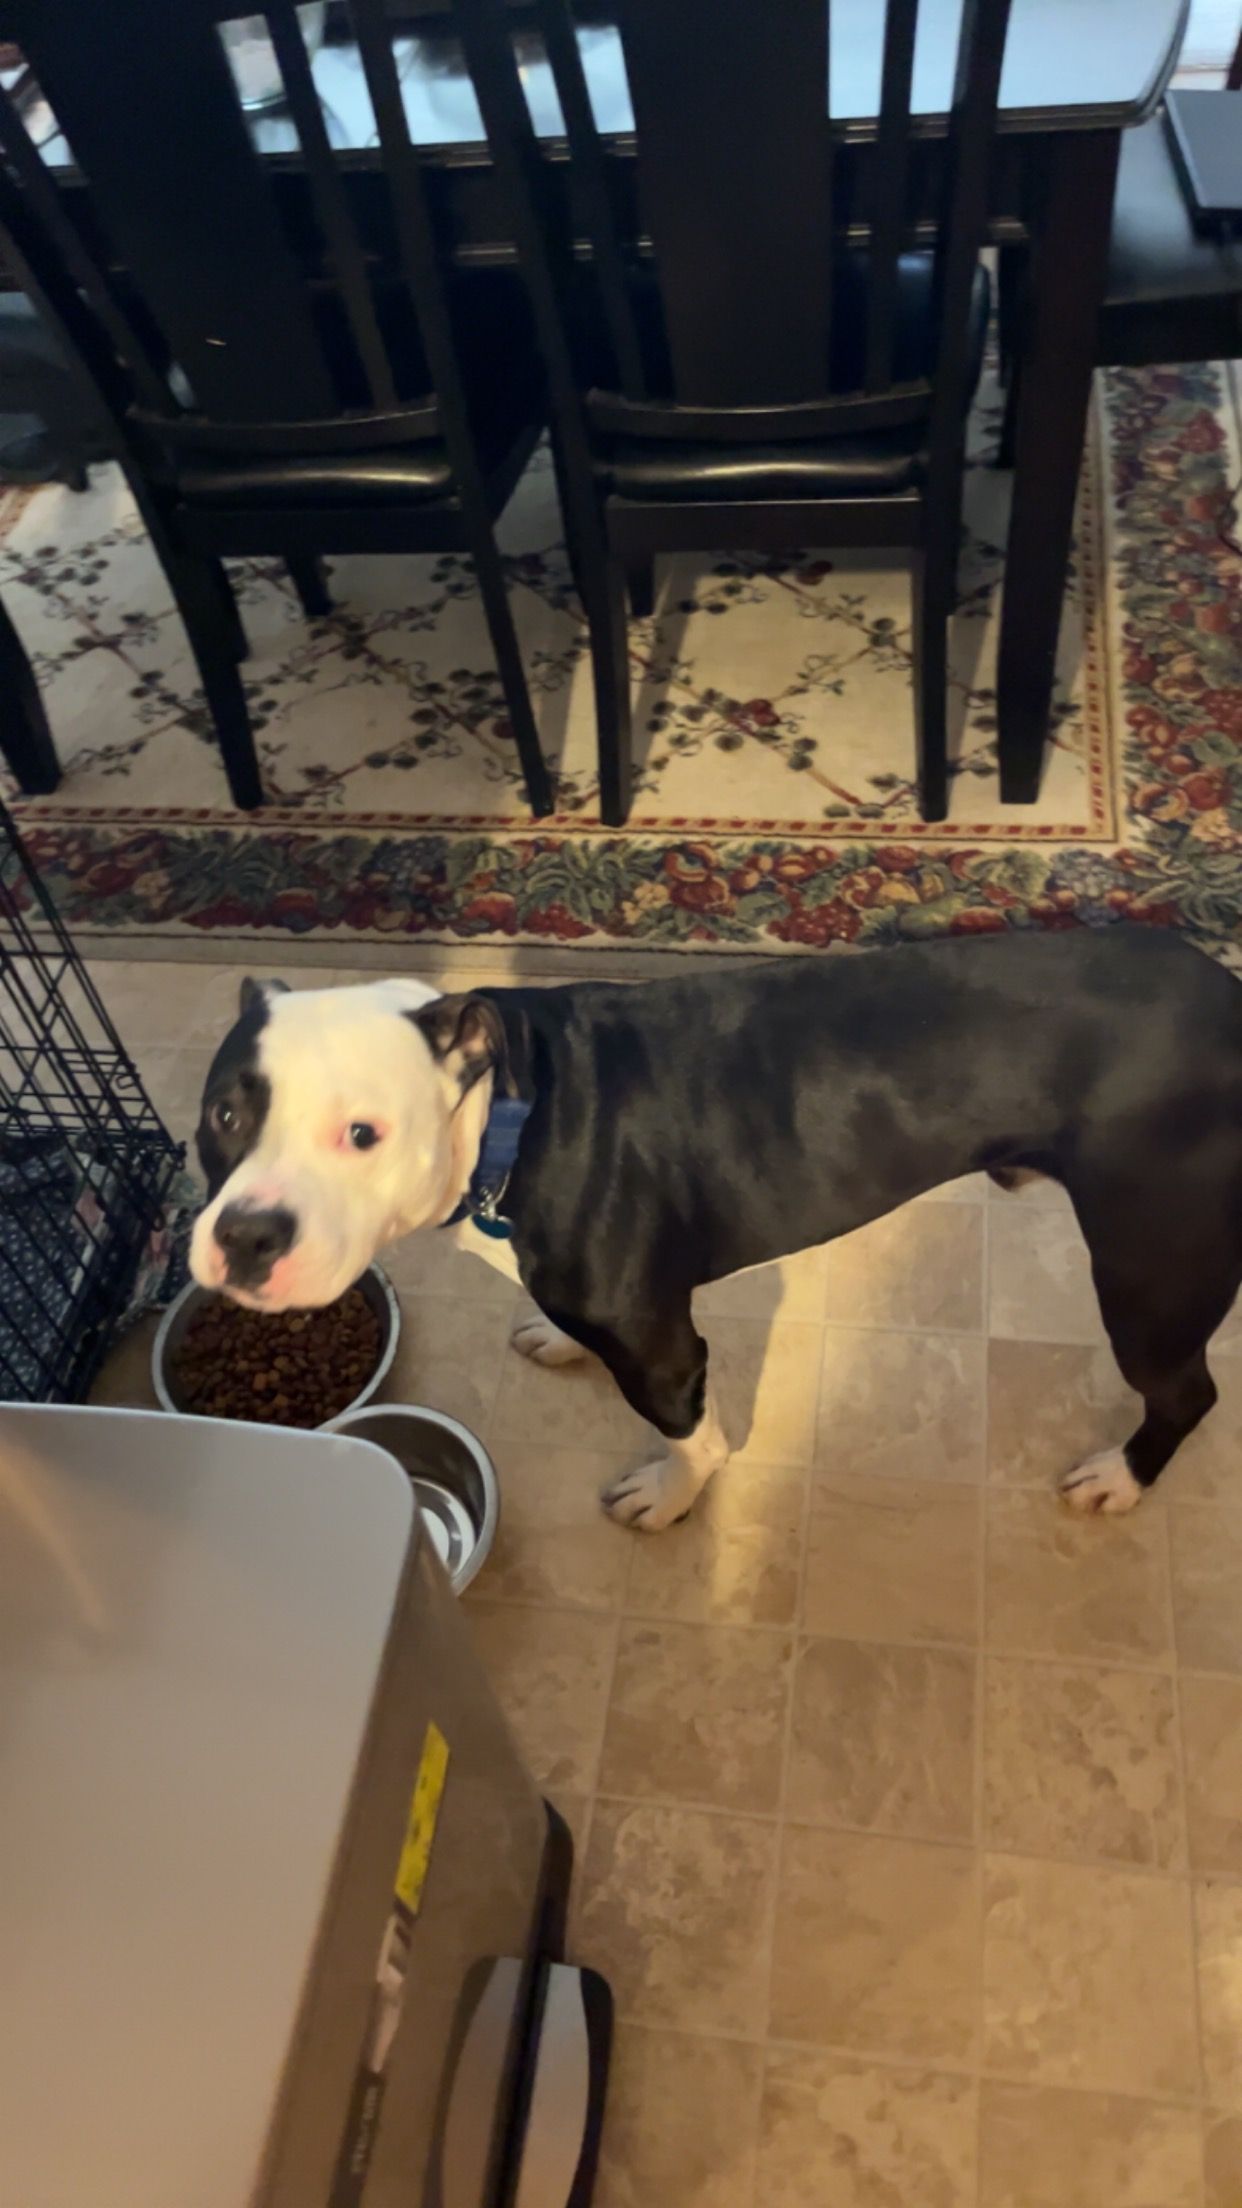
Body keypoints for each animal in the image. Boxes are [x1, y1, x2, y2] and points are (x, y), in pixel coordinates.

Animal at [190, 928, 1242, 1530]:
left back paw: (1123, 1478)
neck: (508, 1107)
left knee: (1187, 1391)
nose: (248, 1235)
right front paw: (556, 1340)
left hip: (1148, 1275)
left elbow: (695, 1437)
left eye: (362, 1134)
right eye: (225, 1117)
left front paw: (672, 1494)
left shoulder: (662, 1350)